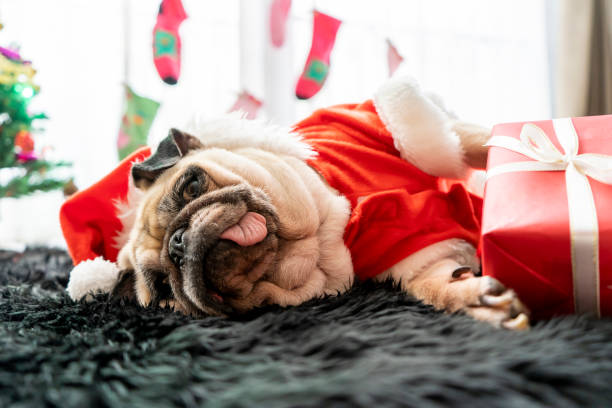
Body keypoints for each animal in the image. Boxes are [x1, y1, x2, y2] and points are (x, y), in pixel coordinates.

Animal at [109, 77, 524, 332]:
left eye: (191, 185)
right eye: (164, 289)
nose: (177, 242)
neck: (324, 239)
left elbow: (480, 143)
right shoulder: (410, 254)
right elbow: (432, 284)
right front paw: (472, 299)